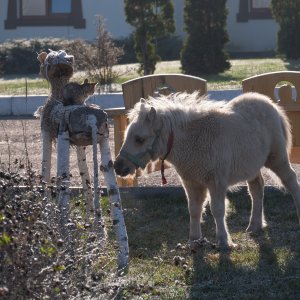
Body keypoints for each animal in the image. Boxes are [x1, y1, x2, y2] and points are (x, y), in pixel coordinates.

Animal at [113, 92, 300, 250]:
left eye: (140, 139)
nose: (118, 166)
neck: (193, 141)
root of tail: (271, 104)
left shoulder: (216, 182)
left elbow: (217, 210)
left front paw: (224, 242)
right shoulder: (191, 183)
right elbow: (194, 209)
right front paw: (194, 240)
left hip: (277, 159)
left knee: (291, 181)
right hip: (252, 166)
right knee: (257, 190)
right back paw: (254, 225)